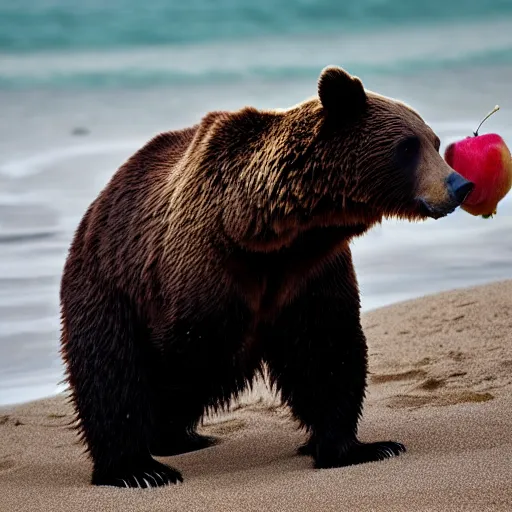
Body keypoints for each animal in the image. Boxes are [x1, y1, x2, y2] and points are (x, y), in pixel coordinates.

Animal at [61, 65, 476, 488]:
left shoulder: (311, 271)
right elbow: (172, 360)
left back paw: (180, 437)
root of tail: (98, 203)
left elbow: (328, 350)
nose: (459, 185)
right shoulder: (201, 269)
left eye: (434, 141)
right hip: (105, 281)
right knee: (113, 369)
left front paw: (360, 447)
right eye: (407, 147)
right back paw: (137, 468)